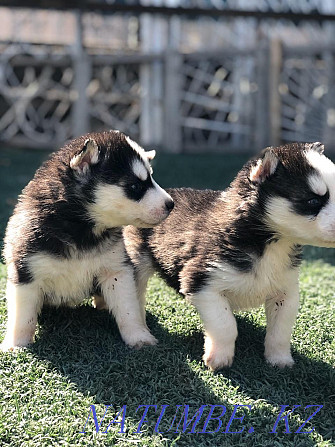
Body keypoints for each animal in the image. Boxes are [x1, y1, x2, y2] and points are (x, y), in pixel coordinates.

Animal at [2, 131, 175, 352]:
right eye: (135, 186)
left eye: (151, 178)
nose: (171, 204)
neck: (81, 230)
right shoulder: (25, 271)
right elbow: (22, 316)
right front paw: (16, 344)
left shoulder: (116, 270)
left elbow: (128, 309)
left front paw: (139, 336)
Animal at [124, 143, 335, 372]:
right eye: (313, 200)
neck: (269, 245)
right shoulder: (201, 282)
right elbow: (226, 325)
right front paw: (219, 358)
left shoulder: (285, 292)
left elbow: (281, 330)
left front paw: (279, 359)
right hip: (138, 262)